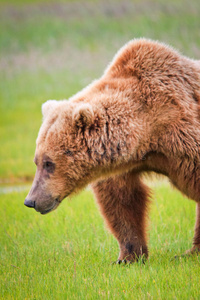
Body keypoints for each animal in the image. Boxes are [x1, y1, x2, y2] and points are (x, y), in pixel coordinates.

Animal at [24, 38, 200, 262]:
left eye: (49, 163)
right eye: (37, 161)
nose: (30, 200)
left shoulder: (182, 135)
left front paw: (192, 251)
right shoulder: (121, 165)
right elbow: (122, 200)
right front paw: (128, 256)